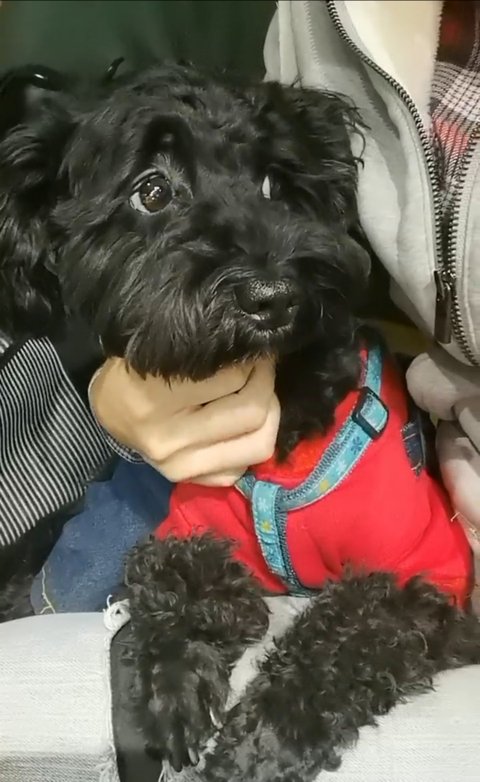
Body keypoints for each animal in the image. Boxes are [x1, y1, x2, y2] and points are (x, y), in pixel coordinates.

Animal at [1, 62, 480, 780]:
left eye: (276, 184)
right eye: (152, 191)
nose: (272, 295)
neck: (286, 422)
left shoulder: (422, 571)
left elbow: (344, 633)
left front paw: (262, 741)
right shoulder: (188, 527)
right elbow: (169, 584)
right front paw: (171, 687)